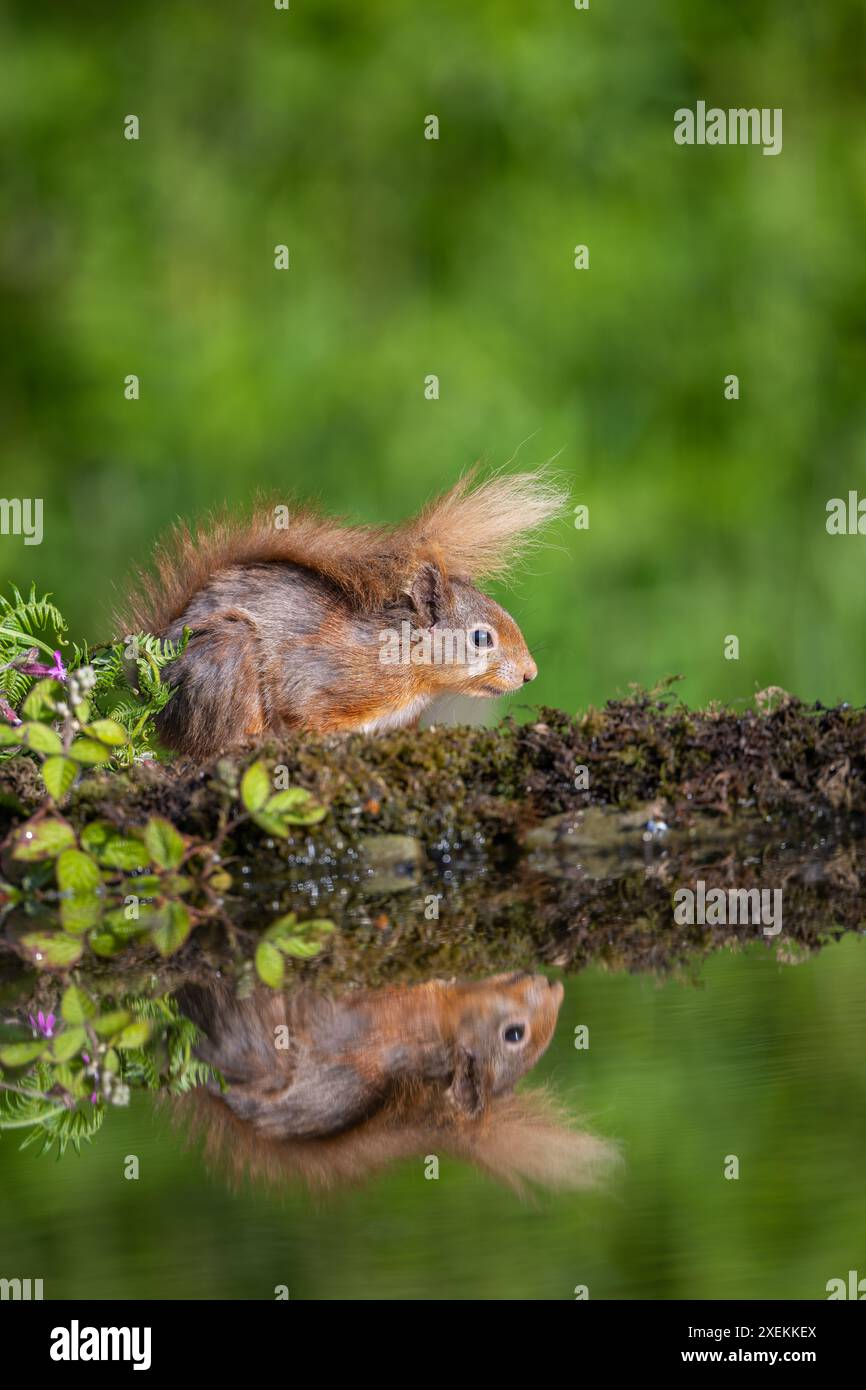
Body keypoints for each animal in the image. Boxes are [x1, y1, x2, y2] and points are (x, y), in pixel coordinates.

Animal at [120, 470, 566, 760]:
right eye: (481, 638)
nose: (530, 673)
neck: (408, 664)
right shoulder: (325, 679)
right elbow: (305, 713)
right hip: (228, 661)